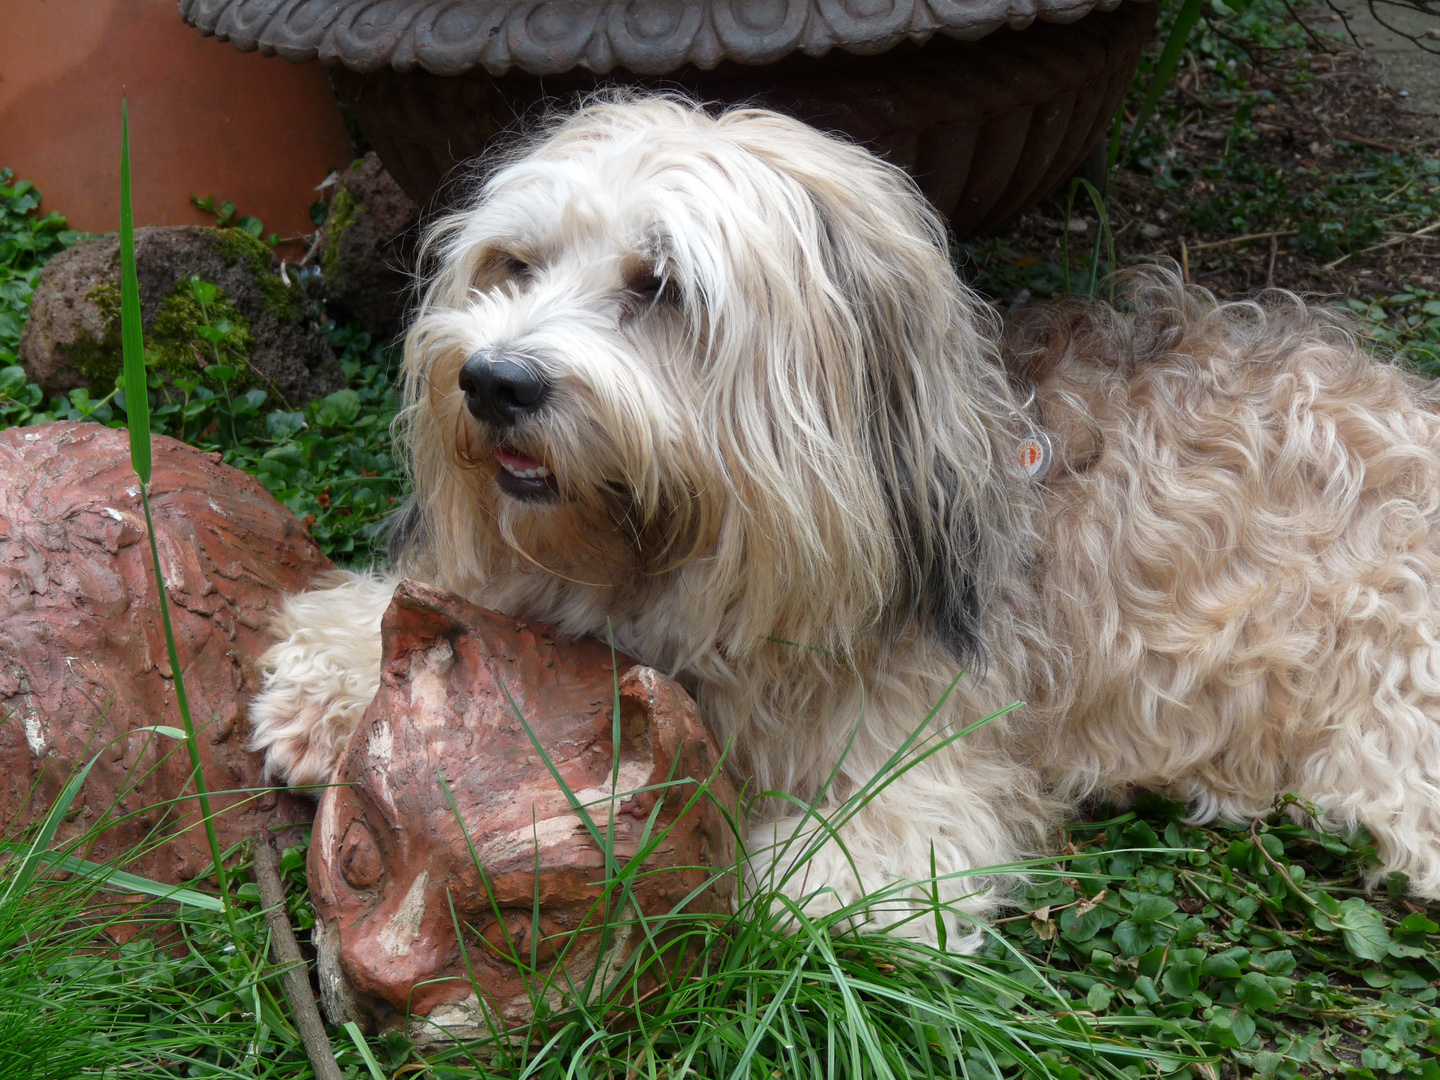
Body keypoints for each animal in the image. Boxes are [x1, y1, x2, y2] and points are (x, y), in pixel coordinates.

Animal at [247, 97, 1440, 950]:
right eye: (514, 265)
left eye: (660, 286)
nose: (491, 381)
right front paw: (337, 676)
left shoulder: (936, 756)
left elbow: (855, 859)